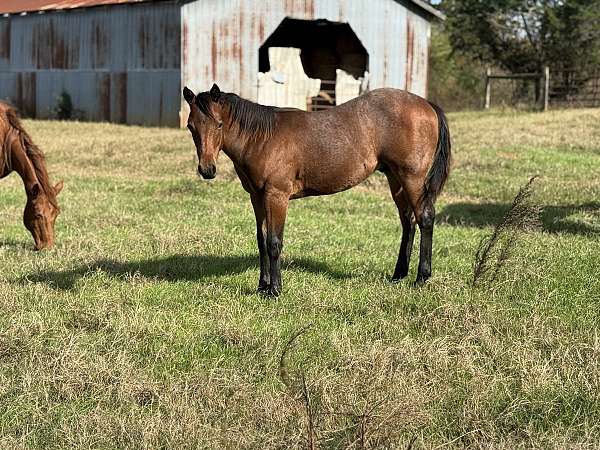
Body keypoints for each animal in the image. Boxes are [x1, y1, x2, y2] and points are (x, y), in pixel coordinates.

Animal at [183, 85, 450, 298]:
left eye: (219, 124)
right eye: (190, 126)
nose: (207, 170)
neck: (262, 138)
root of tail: (426, 104)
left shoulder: (276, 196)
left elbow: (274, 242)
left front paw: (274, 290)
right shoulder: (257, 197)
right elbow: (261, 241)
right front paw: (262, 286)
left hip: (412, 178)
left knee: (425, 218)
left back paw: (421, 277)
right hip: (395, 179)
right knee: (408, 222)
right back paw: (398, 275)